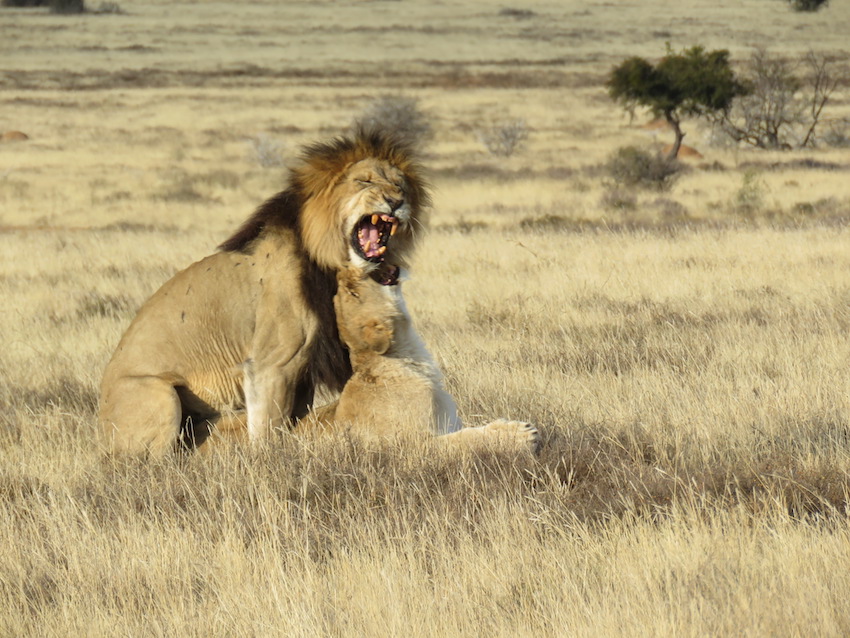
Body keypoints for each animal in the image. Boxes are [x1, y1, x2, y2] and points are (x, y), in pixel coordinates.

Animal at [99, 129, 428, 456]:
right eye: (365, 181)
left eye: (399, 185)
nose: (396, 201)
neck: (328, 264)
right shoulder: (273, 364)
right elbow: (269, 428)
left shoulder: (304, 371)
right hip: (162, 396)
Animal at [304, 268, 536, 452]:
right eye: (352, 292)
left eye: (345, 291)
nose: (343, 269)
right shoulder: (415, 446)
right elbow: (464, 439)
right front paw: (521, 435)